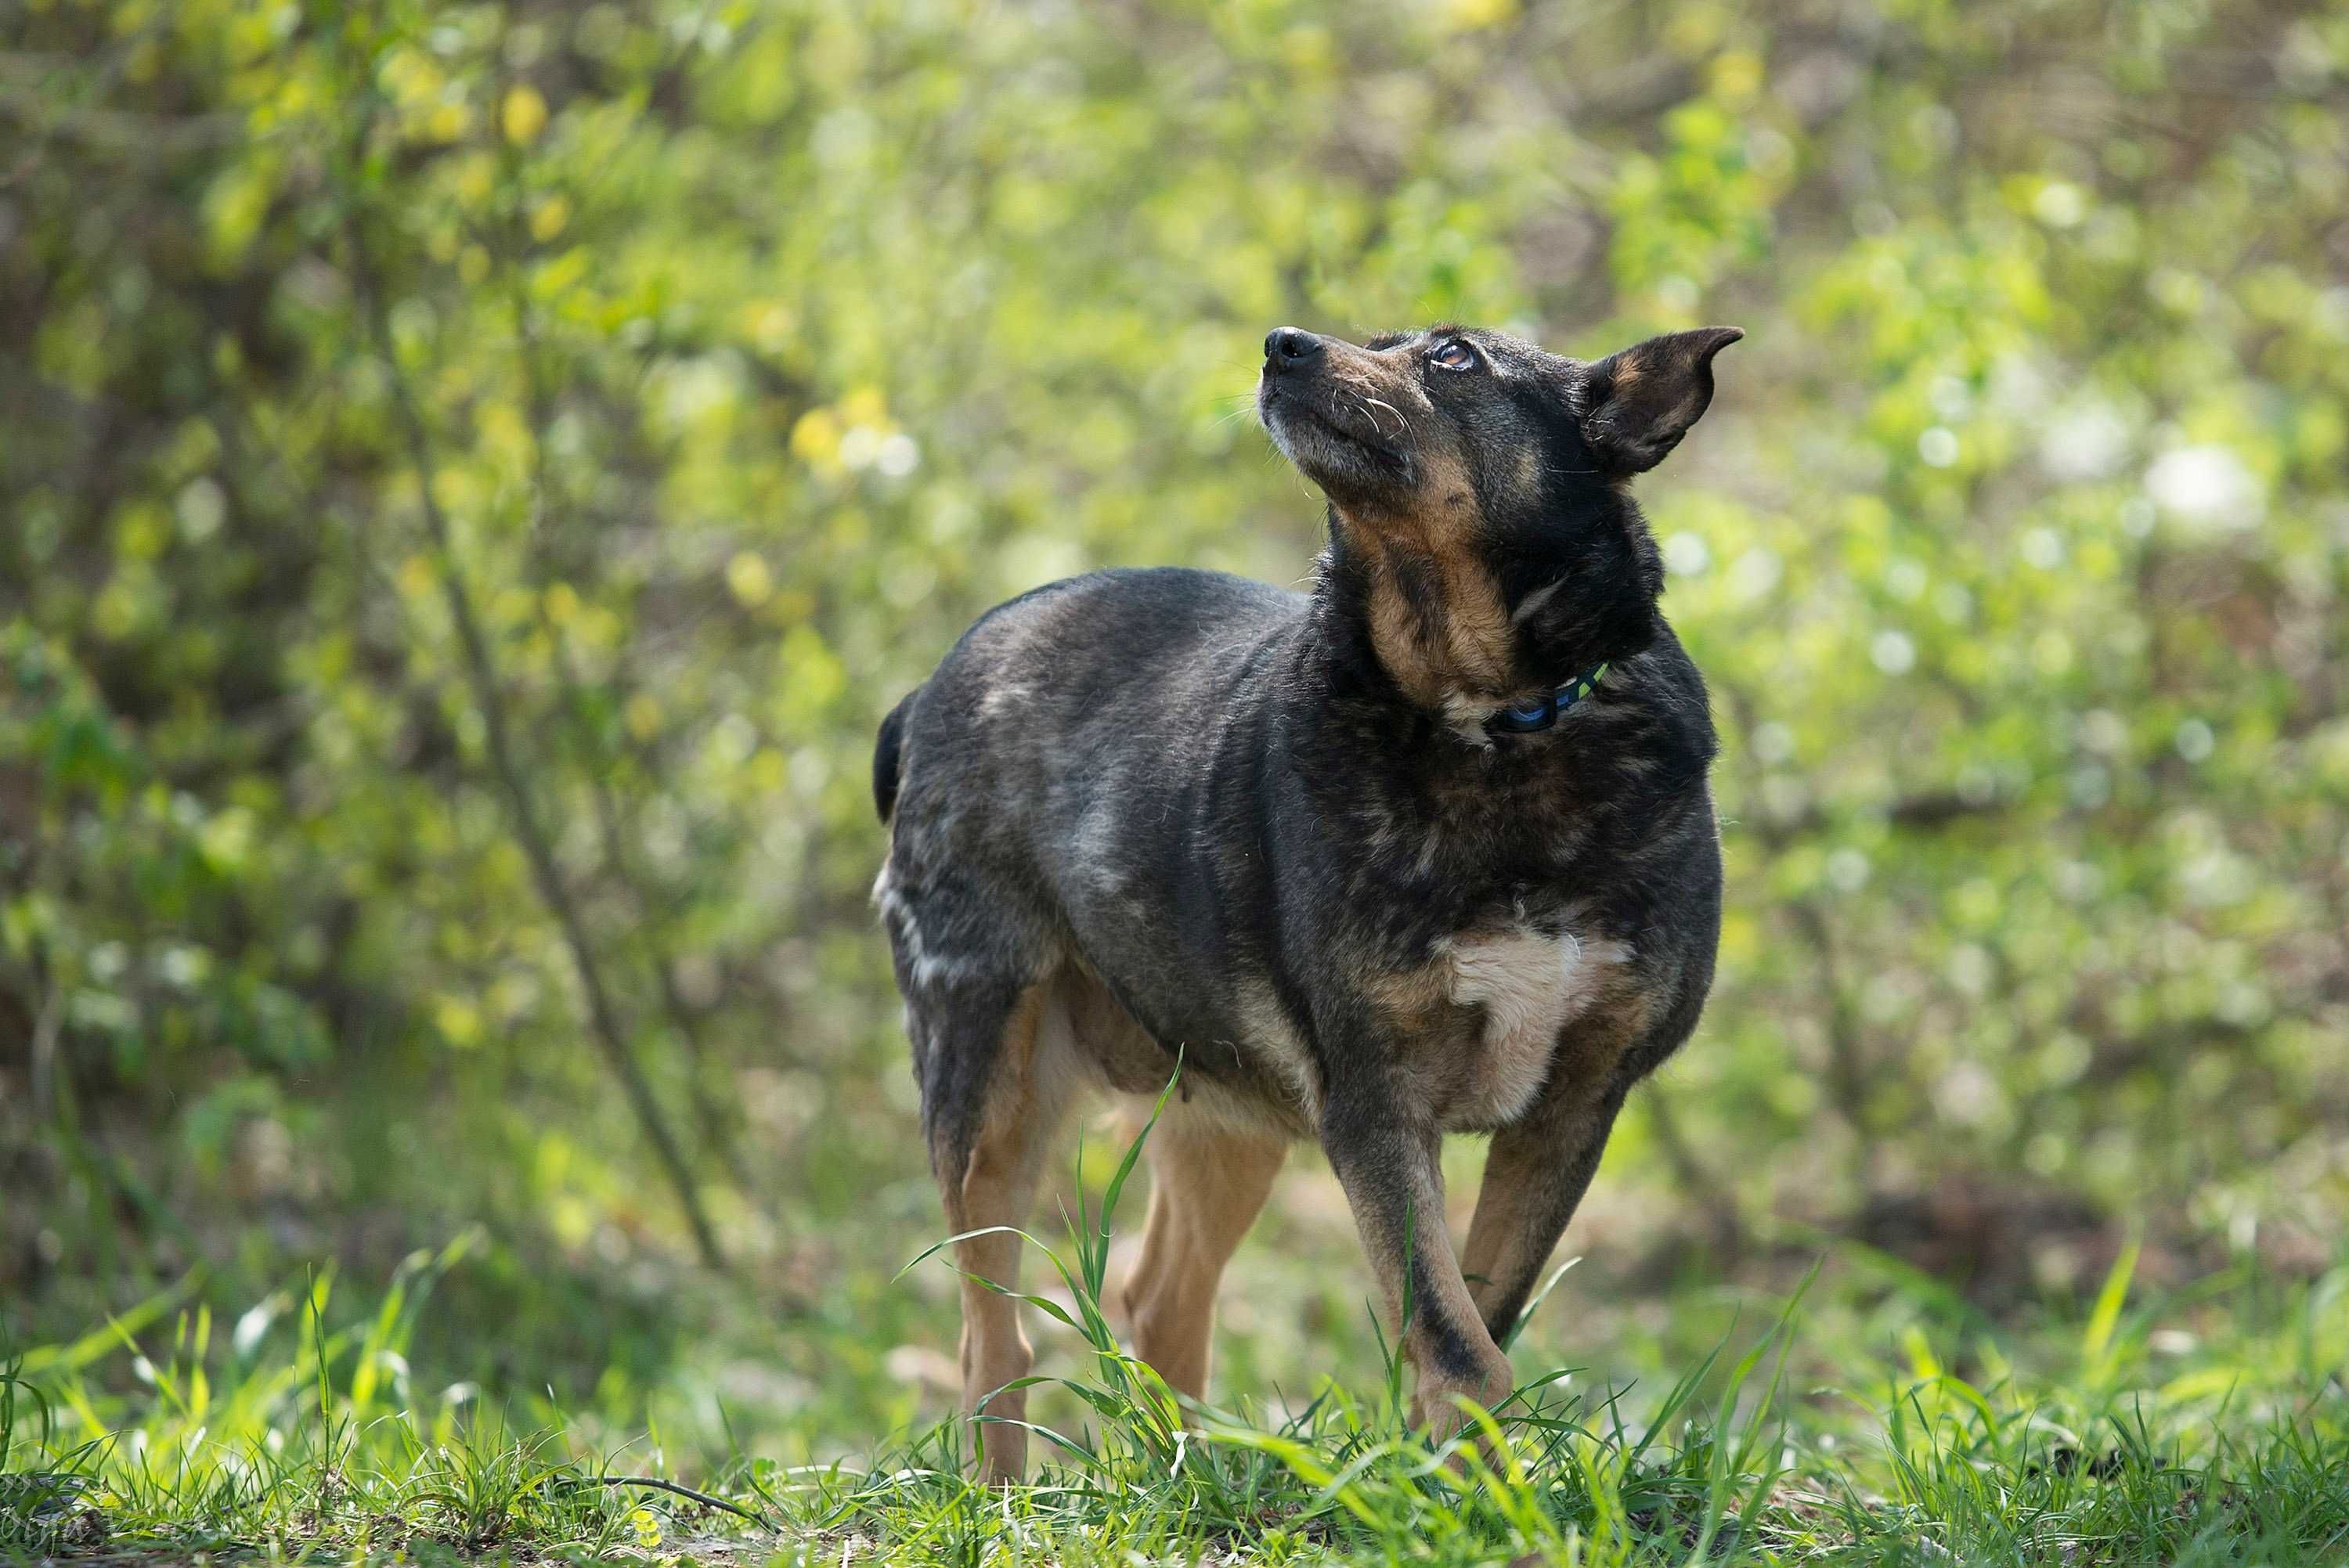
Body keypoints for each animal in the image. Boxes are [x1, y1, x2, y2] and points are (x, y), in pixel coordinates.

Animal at [874, 321, 1738, 1483]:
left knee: (1157, 1300)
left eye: (1455, 356)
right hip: (986, 1082)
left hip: (1227, 1113)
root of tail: (930, 685)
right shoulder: (1374, 1099)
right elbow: (1452, 1333)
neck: (1491, 719)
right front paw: (1469, 1489)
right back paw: (1005, 1494)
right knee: (991, 1336)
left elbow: (1475, 1314)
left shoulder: (1573, 1106)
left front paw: (1451, 1474)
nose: (1283, 344)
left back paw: (1188, 1473)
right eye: (1373, 339)